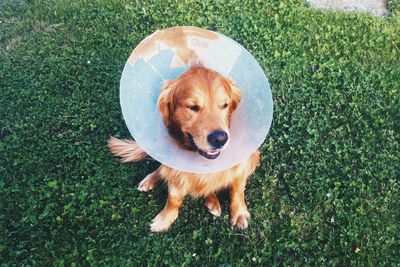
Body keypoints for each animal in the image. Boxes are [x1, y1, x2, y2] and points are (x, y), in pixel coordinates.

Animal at [108, 67, 260, 232]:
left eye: (225, 105)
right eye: (193, 107)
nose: (220, 139)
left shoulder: (241, 164)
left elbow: (237, 190)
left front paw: (239, 213)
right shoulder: (176, 172)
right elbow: (173, 199)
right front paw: (165, 219)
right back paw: (150, 180)